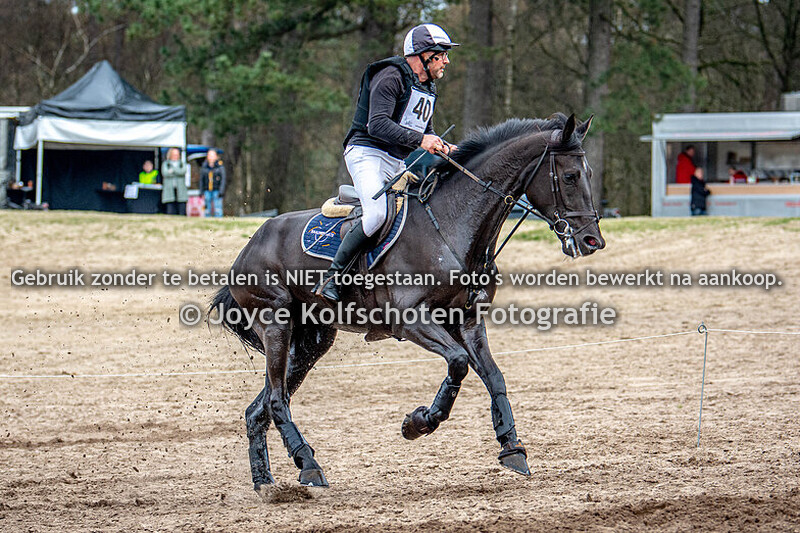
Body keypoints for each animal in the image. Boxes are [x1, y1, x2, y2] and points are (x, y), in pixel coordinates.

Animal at [211, 113, 605, 490]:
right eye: (570, 176)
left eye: (587, 173)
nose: (592, 241)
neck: (451, 224)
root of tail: (249, 247)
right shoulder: (412, 319)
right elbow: (459, 364)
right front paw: (419, 423)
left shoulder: (467, 320)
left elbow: (493, 376)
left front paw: (512, 447)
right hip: (275, 323)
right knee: (276, 400)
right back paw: (309, 465)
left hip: (312, 340)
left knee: (259, 408)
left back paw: (265, 482)